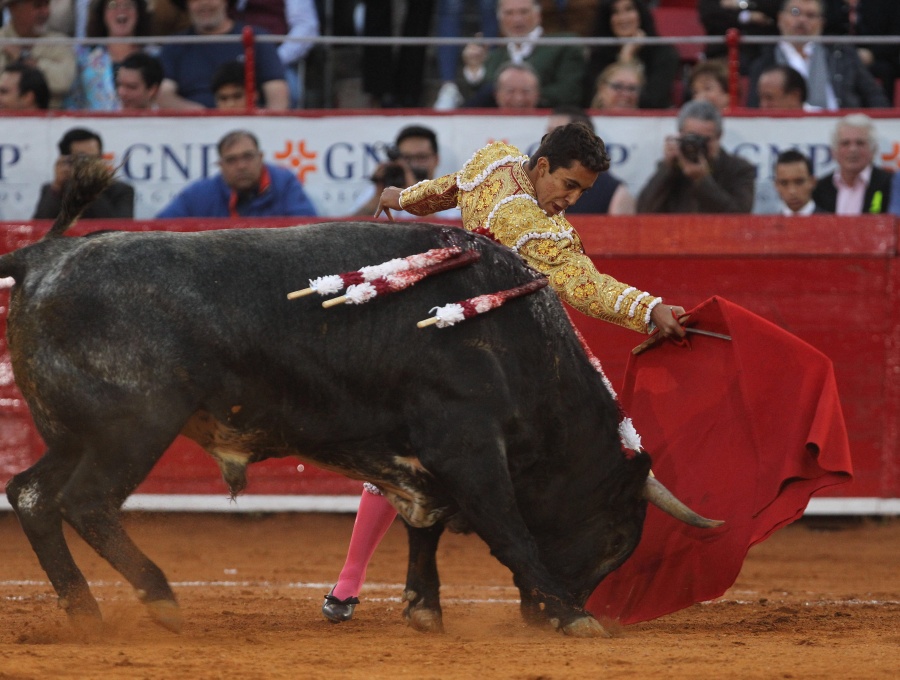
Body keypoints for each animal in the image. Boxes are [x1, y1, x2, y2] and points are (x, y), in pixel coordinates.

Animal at [0, 159, 716, 636]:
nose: (539, 615)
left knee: (32, 495)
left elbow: (424, 525)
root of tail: (43, 257)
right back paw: (159, 598)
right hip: (134, 426)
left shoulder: (423, 459)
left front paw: (424, 608)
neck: (519, 345)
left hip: (77, 431)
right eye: (618, 537)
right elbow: (508, 528)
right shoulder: (467, 443)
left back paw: (86, 611)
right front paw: (573, 617)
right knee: (86, 503)